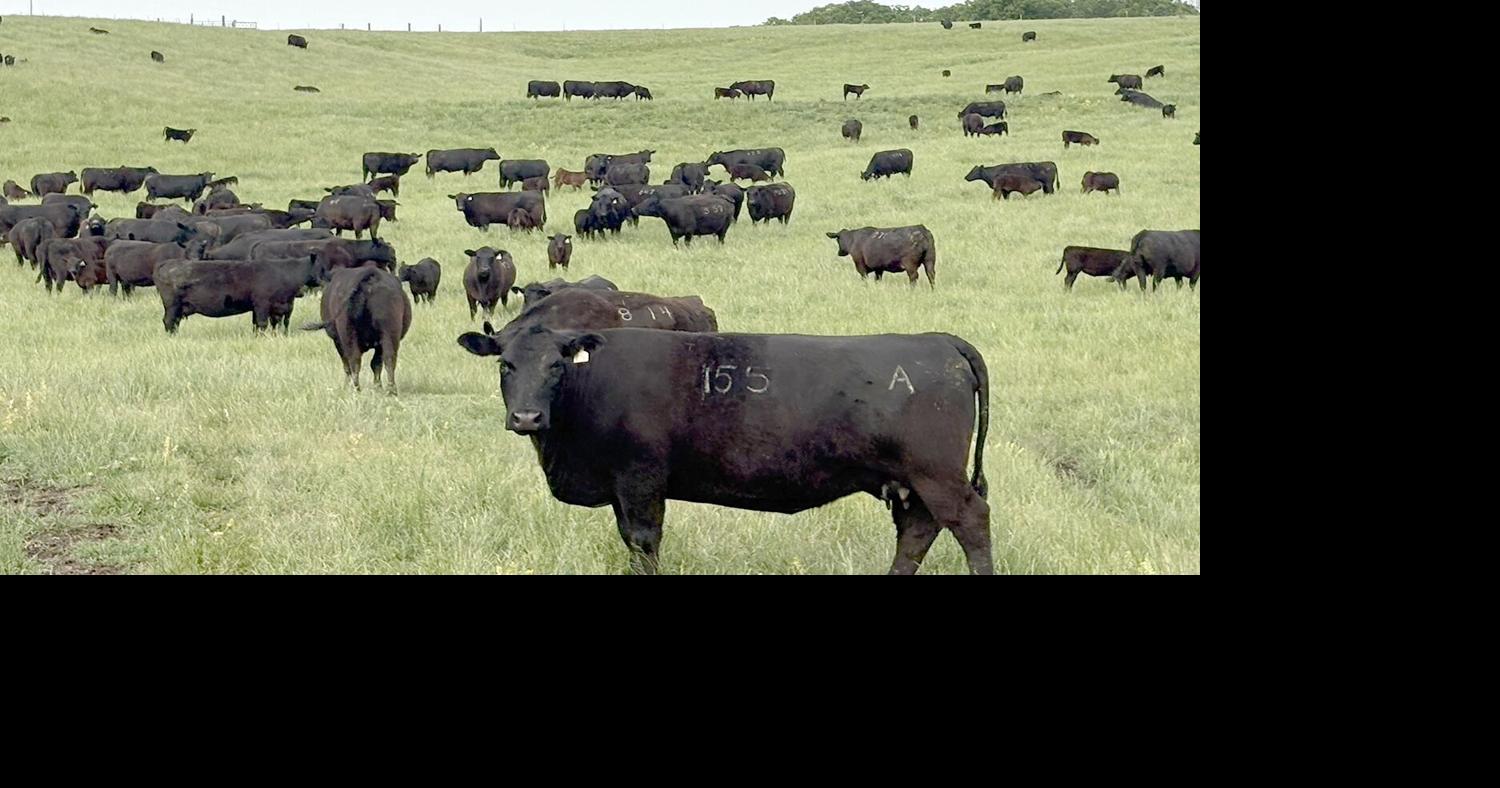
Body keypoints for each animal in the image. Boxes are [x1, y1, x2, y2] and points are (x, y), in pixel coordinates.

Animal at [156, 255, 327, 334]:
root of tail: (167, 263)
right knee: (169, 321)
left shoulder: (278, 309)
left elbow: (266, 325)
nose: (328, 279)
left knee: (175, 322)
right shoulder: (262, 304)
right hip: (172, 305)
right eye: (321, 268)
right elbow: (262, 324)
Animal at [455, 325, 991, 574]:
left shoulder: (640, 479)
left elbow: (645, 542)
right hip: (911, 483)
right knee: (917, 533)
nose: (527, 417)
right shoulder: (620, 489)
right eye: (505, 365)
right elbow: (629, 540)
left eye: (556, 366)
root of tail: (936, 339)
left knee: (971, 522)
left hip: (938, 476)